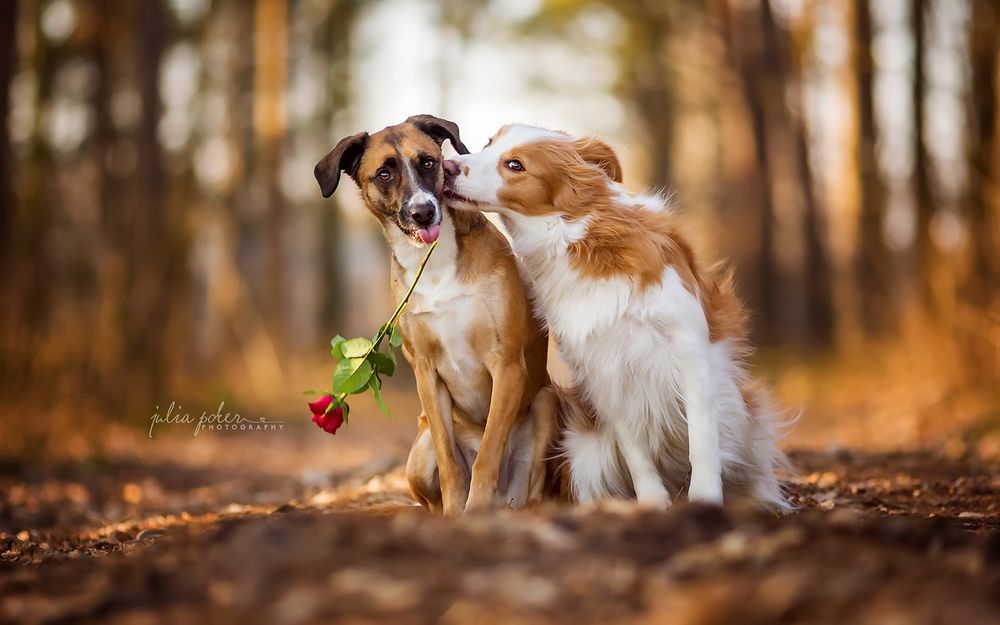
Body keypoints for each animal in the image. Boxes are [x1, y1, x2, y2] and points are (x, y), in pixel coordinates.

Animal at [316, 116, 560, 512]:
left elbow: (487, 456)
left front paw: (475, 511)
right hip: (418, 453)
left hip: (546, 403)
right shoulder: (426, 372)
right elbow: (451, 465)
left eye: (428, 162)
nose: (423, 211)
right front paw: (456, 512)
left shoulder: (507, 364)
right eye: (384, 173)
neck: (434, 262)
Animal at [444, 124, 788, 510]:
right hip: (583, 448)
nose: (447, 166)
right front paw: (652, 500)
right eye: (488, 144)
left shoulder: (691, 353)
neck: (577, 238)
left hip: (746, 414)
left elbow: (701, 439)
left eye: (515, 164)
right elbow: (634, 450)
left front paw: (704, 499)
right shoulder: (602, 370)